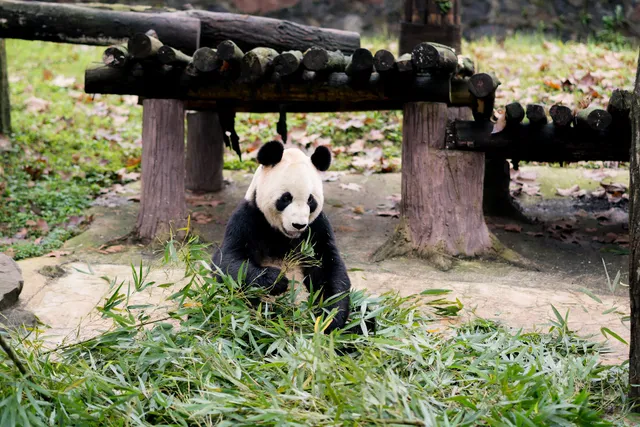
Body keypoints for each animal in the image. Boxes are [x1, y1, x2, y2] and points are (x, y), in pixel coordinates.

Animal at [212, 140, 351, 333]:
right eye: (286, 198)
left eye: (310, 200)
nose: (298, 224)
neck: (283, 236)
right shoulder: (248, 218)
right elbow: (228, 262)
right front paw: (277, 280)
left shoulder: (316, 228)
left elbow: (328, 266)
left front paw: (330, 318)